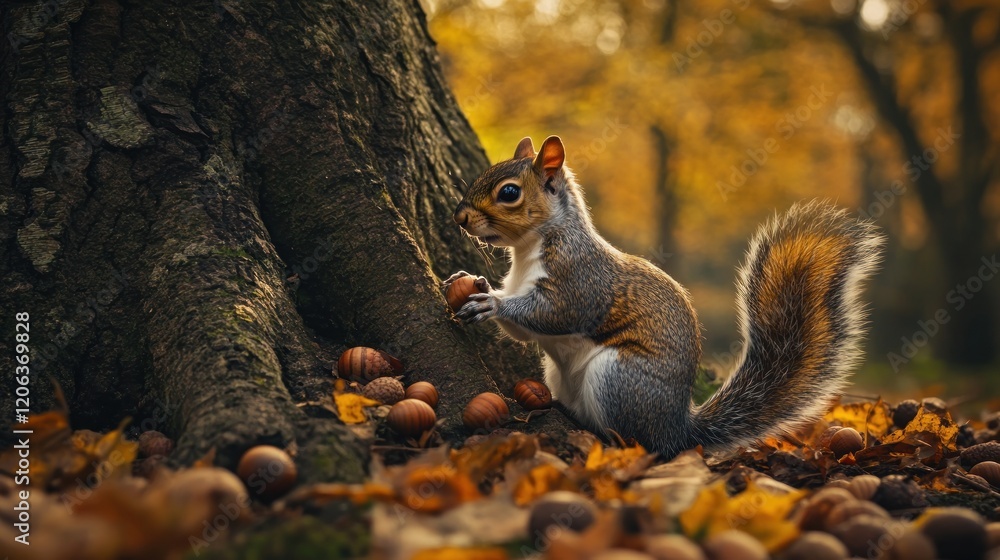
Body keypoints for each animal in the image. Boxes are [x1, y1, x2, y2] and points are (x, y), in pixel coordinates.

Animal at [445, 135, 884, 459]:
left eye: (509, 193)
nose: (459, 218)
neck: (529, 248)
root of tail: (678, 430)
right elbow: (522, 330)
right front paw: (472, 280)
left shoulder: (580, 282)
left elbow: (554, 314)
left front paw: (491, 302)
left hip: (618, 378)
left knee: (636, 440)